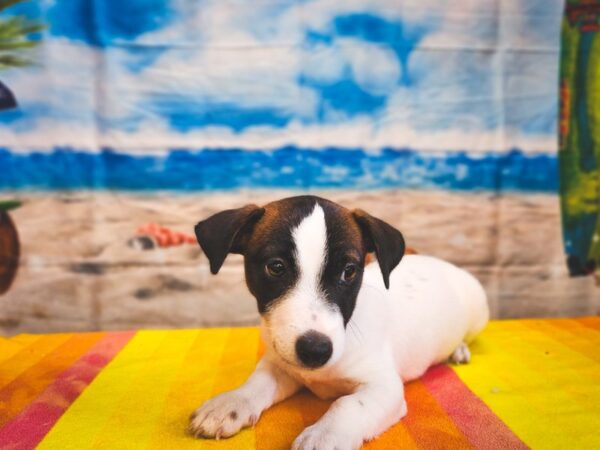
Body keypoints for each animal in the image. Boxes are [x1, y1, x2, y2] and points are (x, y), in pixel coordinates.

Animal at [190, 196, 490, 450]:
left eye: (349, 271)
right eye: (275, 267)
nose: (315, 350)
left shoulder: (384, 387)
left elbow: (348, 404)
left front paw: (325, 434)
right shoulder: (281, 364)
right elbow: (257, 383)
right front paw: (230, 403)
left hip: (478, 311)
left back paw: (459, 349)